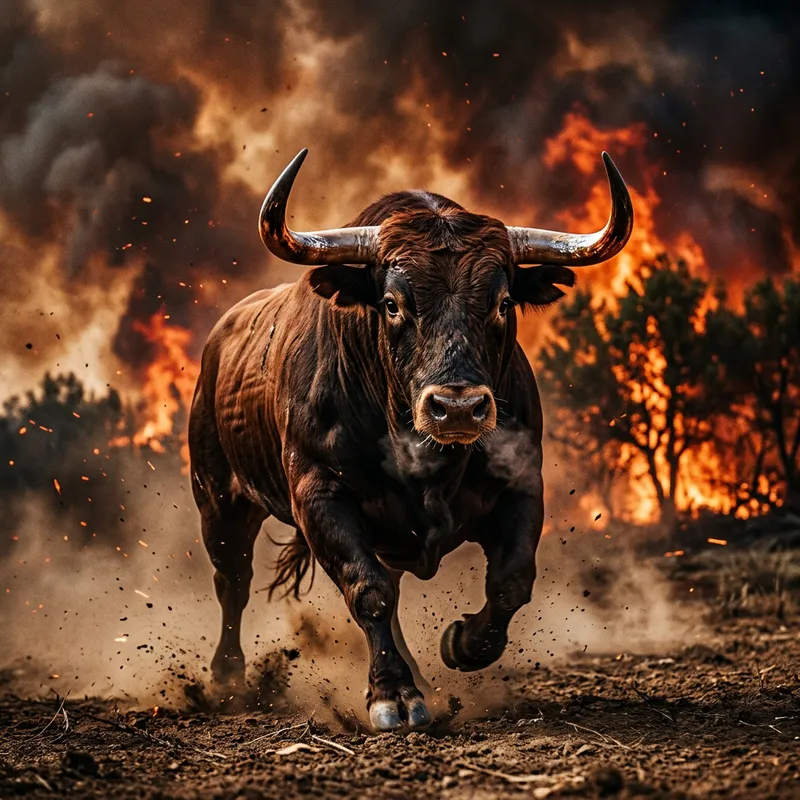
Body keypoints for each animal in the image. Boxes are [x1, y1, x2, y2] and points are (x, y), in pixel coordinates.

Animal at [189, 149, 633, 731]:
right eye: (393, 303)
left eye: (503, 302)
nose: (458, 408)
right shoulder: (319, 495)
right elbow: (367, 590)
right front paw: (391, 695)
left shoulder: (521, 485)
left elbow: (511, 580)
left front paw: (461, 643)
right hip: (219, 500)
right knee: (232, 581)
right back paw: (226, 679)